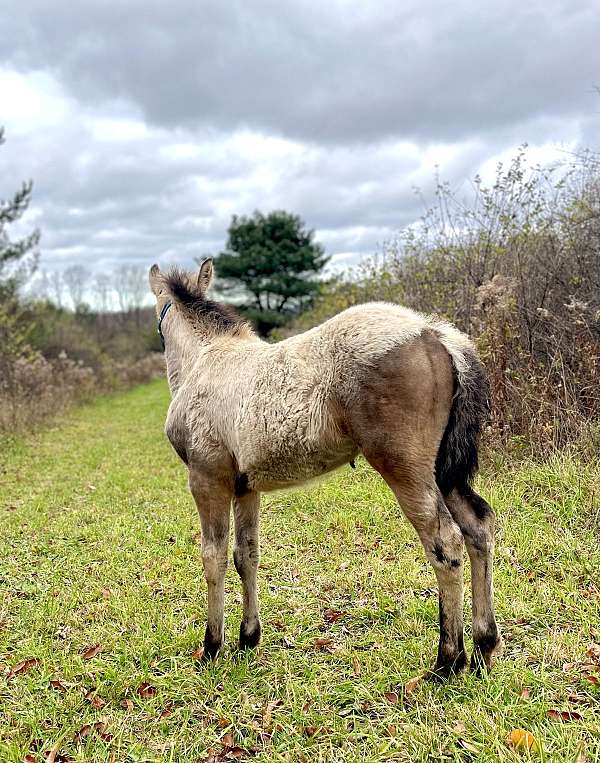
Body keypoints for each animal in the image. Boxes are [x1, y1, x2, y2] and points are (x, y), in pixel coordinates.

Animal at [149, 260, 502, 676]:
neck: (204, 360)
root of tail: (436, 333)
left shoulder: (208, 478)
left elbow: (213, 557)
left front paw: (211, 646)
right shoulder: (245, 486)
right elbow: (246, 555)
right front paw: (248, 638)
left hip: (406, 468)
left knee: (445, 540)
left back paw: (447, 660)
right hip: (443, 472)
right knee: (478, 525)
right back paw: (483, 648)